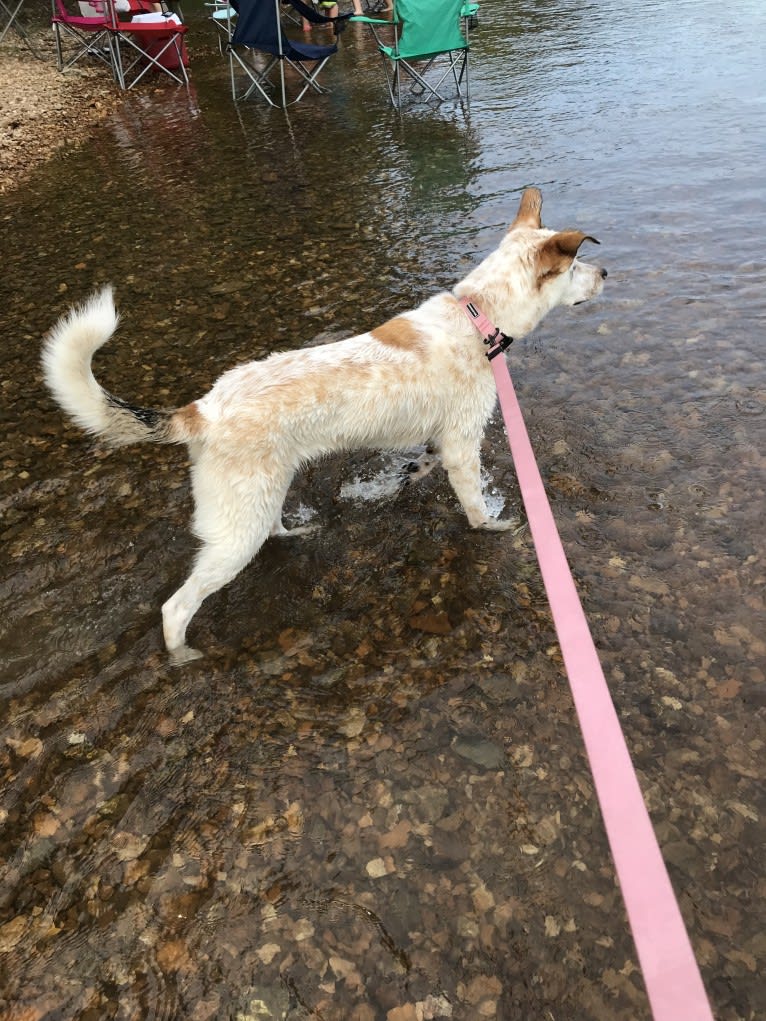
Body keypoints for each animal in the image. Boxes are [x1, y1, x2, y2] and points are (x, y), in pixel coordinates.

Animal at [41, 187, 608, 665]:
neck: (476, 317)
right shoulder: (464, 446)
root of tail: (202, 409)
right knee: (176, 607)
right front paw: (494, 526)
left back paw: (299, 533)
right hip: (236, 532)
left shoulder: (440, 442)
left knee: (272, 528)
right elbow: (473, 508)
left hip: (262, 494)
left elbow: (418, 465)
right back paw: (183, 656)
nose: (605, 272)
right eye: (577, 263)